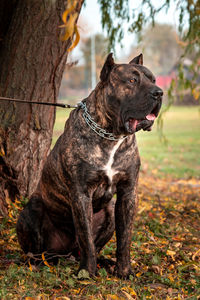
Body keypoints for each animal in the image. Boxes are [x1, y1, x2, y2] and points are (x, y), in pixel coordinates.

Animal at [16, 53, 162, 278]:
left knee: (90, 245)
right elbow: (86, 236)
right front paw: (87, 272)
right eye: (132, 80)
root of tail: (65, 253)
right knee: (39, 250)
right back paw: (39, 262)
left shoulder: (128, 193)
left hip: (109, 212)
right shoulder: (81, 193)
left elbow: (124, 238)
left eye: (153, 80)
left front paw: (124, 271)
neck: (111, 135)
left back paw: (103, 261)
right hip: (31, 209)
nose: (159, 92)